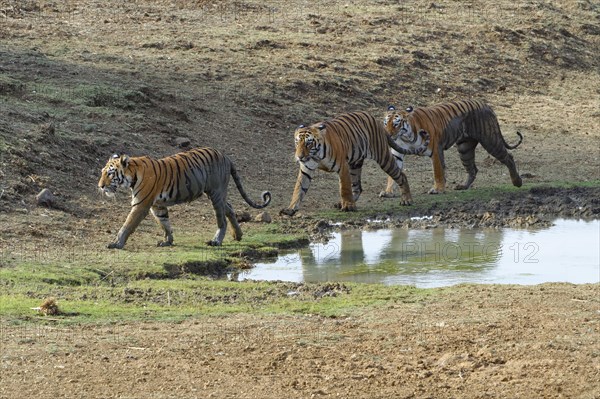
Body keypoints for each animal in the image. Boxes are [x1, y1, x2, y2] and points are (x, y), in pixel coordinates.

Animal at [99, 148, 272, 248]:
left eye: (110, 173)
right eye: (102, 172)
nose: (100, 186)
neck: (133, 174)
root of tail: (226, 156)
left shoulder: (141, 204)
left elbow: (127, 225)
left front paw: (116, 243)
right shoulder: (157, 205)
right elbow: (164, 223)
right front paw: (167, 241)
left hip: (215, 193)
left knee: (221, 218)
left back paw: (216, 241)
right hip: (216, 194)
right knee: (228, 207)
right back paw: (238, 235)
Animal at [278, 111, 428, 217]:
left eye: (308, 143)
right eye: (297, 142)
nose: (300, 156)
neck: (315, 156)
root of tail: (374, 119)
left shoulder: (342, 166)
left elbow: (344, 188)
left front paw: (348, 206)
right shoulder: (306, 169)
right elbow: (298, 190)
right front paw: (290, 209)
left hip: (383, 158)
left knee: (401, 175)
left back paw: (406, 199)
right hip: (355, 164)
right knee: (357, 188)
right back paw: (344, 203)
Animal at [382, 98, 524, 195]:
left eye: (396, 124)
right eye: (385, 123)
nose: (387, 134)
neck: (406, 137)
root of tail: (486, 105)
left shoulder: (435, 151)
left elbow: (438, 172)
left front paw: (437, 189)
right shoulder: (397, 153)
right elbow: (393, 172)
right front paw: (388, 191)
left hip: (490, 141)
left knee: (509, 157)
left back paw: (517, 181)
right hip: (464, 148)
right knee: (473, 169)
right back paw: (463, 186)